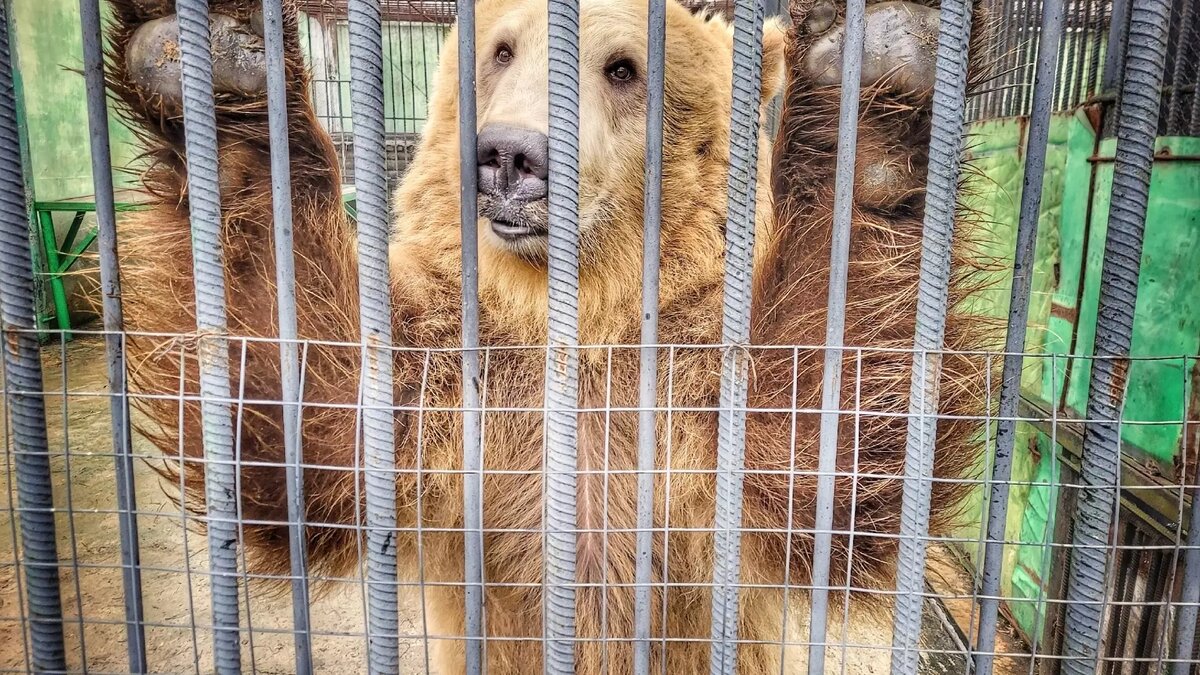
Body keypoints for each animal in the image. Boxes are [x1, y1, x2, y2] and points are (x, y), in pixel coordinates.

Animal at [105, 0, 993, 667]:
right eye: (502, 50)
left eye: (623, 67)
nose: (508, 155)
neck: (575, 322)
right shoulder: (451, 379)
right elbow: (308, 421)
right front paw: (211, 66)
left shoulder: (689, 390)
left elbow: (822, 447)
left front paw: (875, 69)